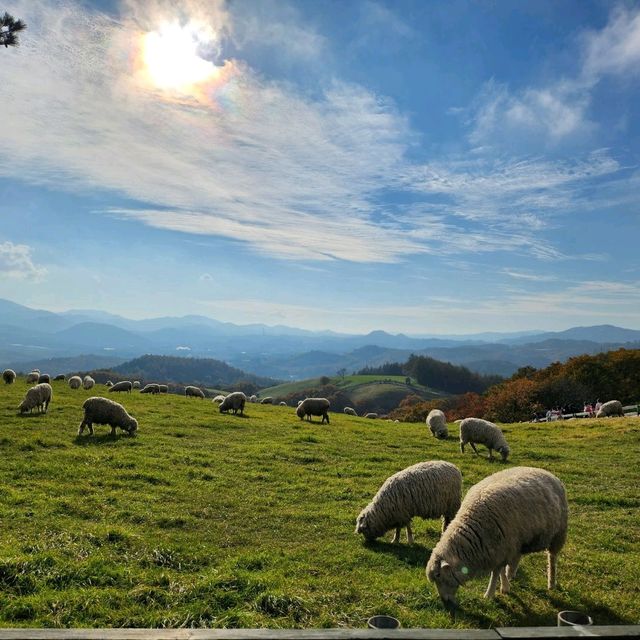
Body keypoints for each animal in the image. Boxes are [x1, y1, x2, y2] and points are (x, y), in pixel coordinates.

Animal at [428, 464, 568, 608]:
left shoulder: (502, 547)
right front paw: (505, 586)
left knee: (552, 558)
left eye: (439, 575)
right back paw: (511, 573)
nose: (444, 601)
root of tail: (547, 472)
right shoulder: (500, 548)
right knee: (518, 556)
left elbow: (495, 572)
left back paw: (551, 583)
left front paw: (489, 594)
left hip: (558, 533)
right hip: (519, 540)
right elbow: (499, 570)